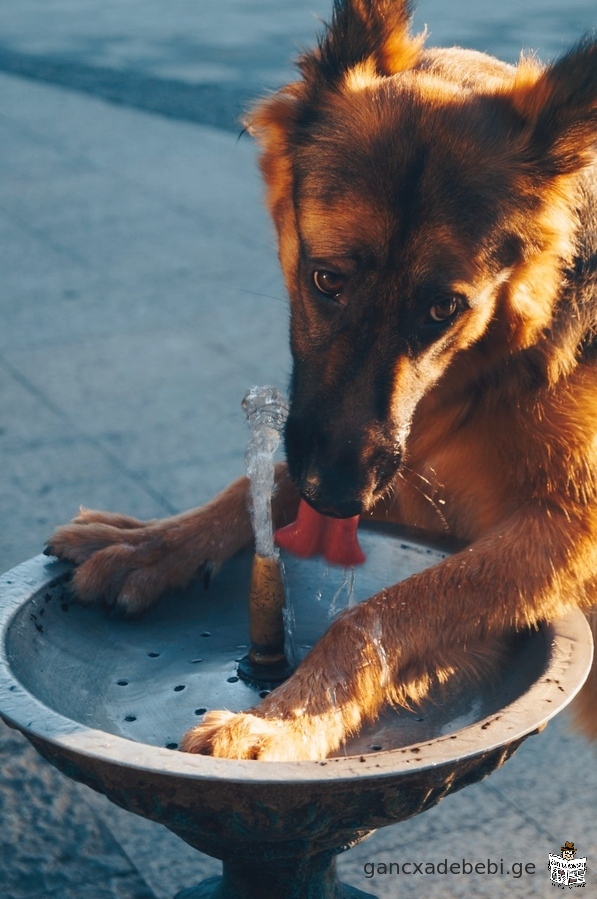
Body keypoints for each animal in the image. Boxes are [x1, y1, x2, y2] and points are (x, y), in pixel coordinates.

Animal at [46, 0, 596, 760]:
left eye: (443, 309)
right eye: (326, 279)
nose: (336, 496)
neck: (500, 362)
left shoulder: (566, 527)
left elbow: (382, 608)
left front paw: (283, 720)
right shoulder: (398, 473)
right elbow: (257, 485)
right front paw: (149, 543)